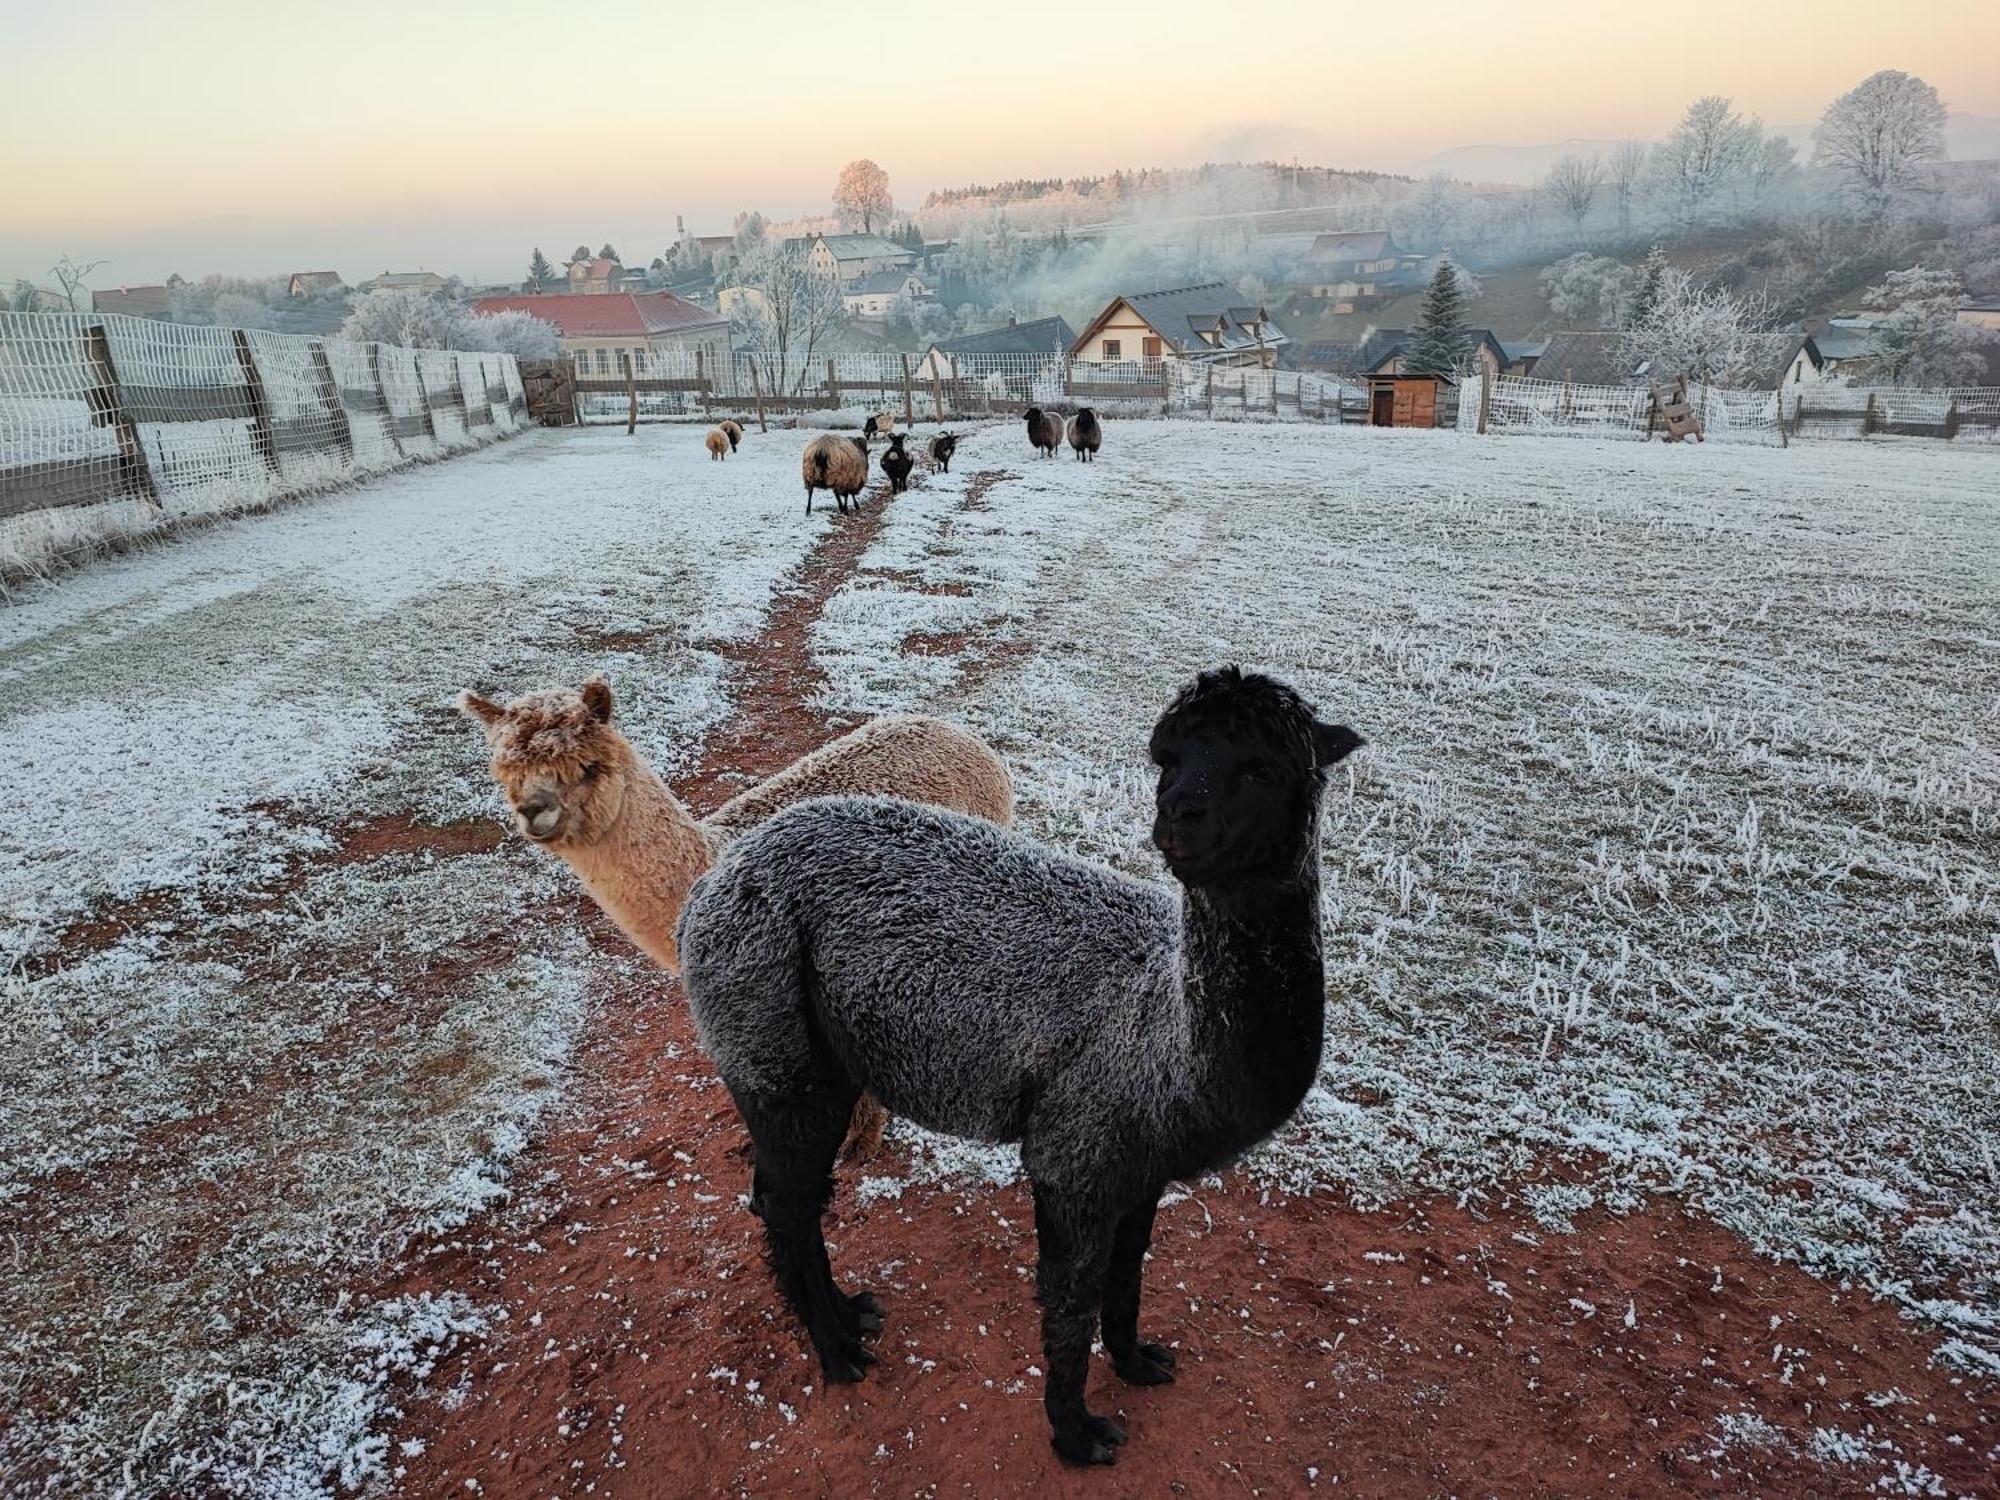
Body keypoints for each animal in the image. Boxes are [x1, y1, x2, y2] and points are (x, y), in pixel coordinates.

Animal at [680, 668, 1368, 1472]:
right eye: (1167, 761)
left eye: (1262, 771)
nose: (1178, 816)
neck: (1172, 1036)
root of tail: (716, 878)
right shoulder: (1075, 1152)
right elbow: (1071, 1298)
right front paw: (1077, 1434)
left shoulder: (1140, 1162)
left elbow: (1129, 1270)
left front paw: (1137, 1362)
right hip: (774, 1040)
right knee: (789, 1202)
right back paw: (837, 1351)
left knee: (779, 1195)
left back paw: (850, 1315)